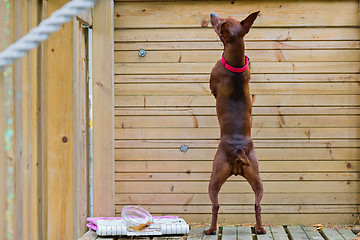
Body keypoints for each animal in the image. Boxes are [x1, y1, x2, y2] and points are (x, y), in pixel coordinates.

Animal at [204, 12, 266, 235]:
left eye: (219, 22)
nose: (212, 14)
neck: (236, 65)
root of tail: (238, 151)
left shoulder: (212, 83)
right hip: (257, 177)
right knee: (257, 205)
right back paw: (261, 229)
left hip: (214, 177)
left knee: (215, 205)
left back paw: (211, 229)